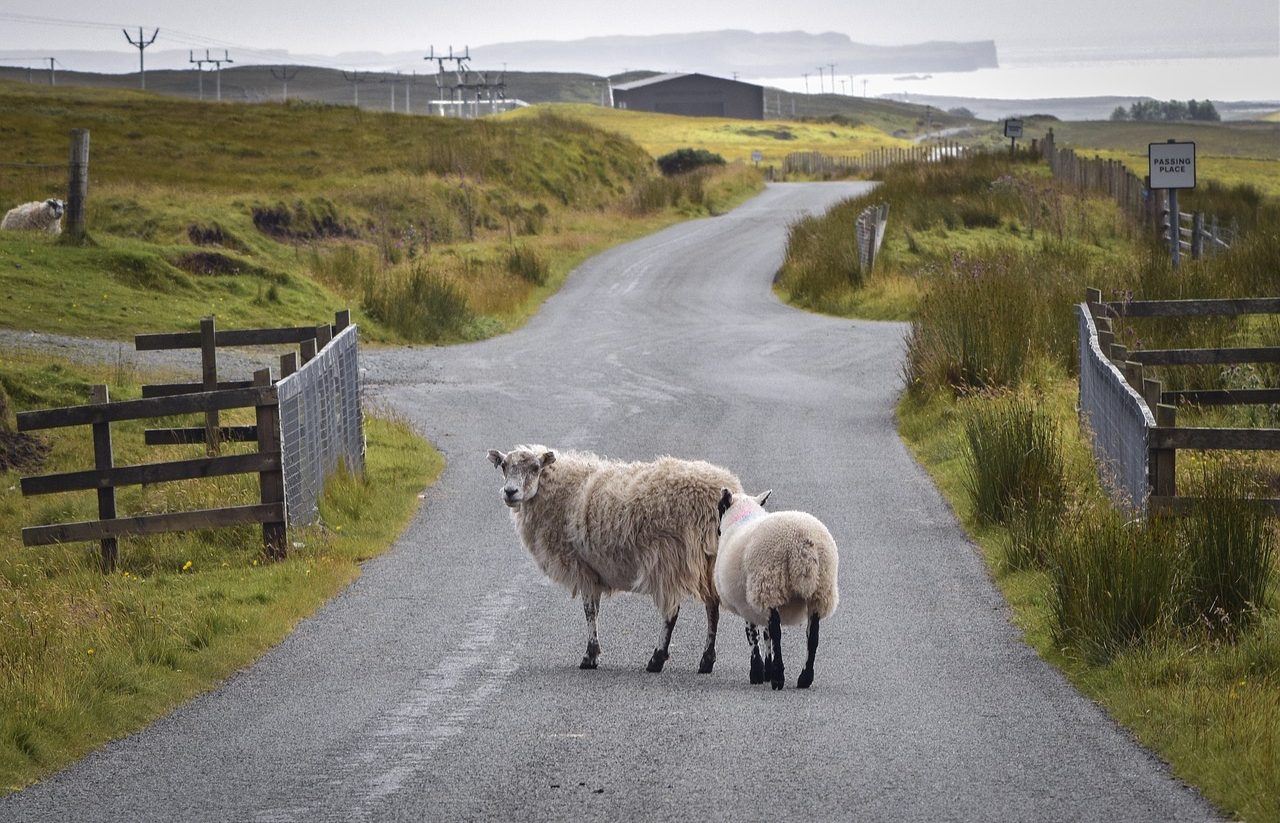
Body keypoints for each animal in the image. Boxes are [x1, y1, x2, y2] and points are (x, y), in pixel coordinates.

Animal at [483, 447, 747, 670]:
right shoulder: (593, 570)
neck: (562, 491)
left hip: (669, 557)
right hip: (709, 560)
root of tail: (722, 489)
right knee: (713, 608)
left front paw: (590, 656)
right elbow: (595, 610)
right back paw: (706, 660)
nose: (510, 492)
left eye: (535, 467)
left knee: (672, 613)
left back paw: (657, 659)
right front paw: (593, 653)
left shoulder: (583, 567)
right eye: (504, 466)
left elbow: (589, 611)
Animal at [716, 491, 844, 691]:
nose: (717, 531)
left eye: (719, 507)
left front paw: (758, 672)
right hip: (820, 590)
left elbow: (753, 635)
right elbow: (765, 634)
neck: (743, 515)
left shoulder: (748, 600)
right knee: (812, 635)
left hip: (769, 583)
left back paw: (778, 678)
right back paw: (804, 678)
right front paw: (766, 671)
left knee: (777, 632)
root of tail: (803, 542)